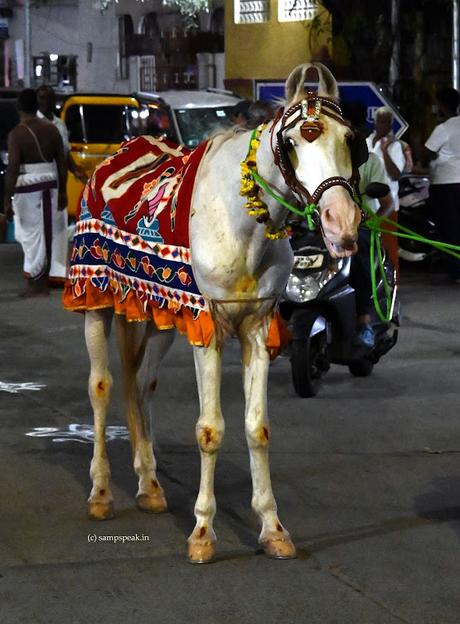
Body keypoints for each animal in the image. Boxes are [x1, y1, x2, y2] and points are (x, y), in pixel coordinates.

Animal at [65, 62, 366, 560]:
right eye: (297, 139)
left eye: (350, 139)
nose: (342, 224)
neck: (243, 221)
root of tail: (114, 158)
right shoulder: (209, 327)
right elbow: (210, 430)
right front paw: (203, 532)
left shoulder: (255, 327)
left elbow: (257, 428)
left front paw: (273, 528)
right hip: (95, 302)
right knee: (101, 387)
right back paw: (101, 493)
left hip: (158, 318)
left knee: (140, 385)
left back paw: (149, 485)